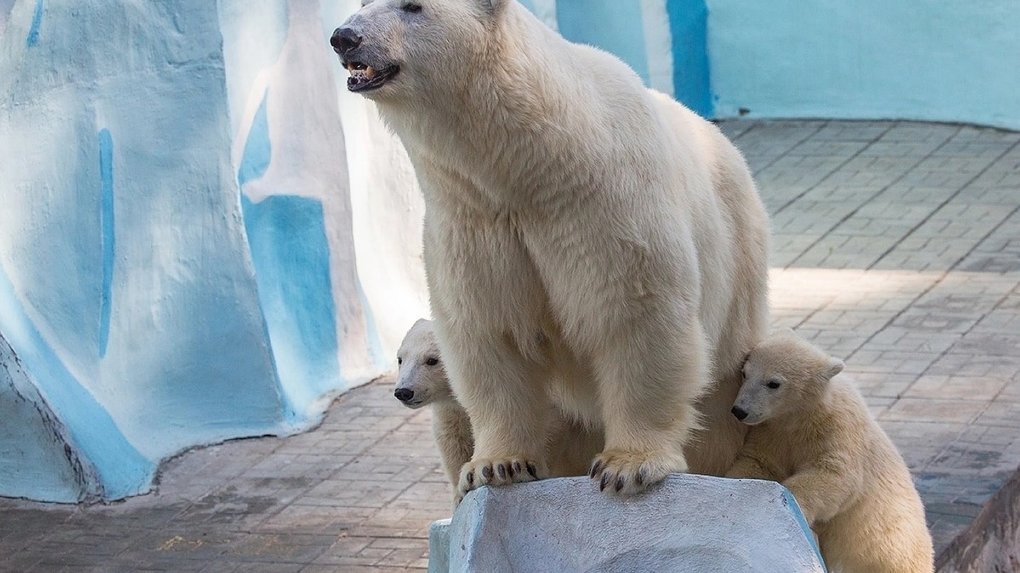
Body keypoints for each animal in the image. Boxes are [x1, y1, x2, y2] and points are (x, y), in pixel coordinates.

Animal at [330, 0, 767, 495]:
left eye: (413, 6)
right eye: (363, 3)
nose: (344, 37)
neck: (532, 164)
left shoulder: (603, 205)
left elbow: (637, 313)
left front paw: (627, 465)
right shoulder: (473, 221)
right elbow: (488, 331)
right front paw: (495, 464)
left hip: (737, 275)